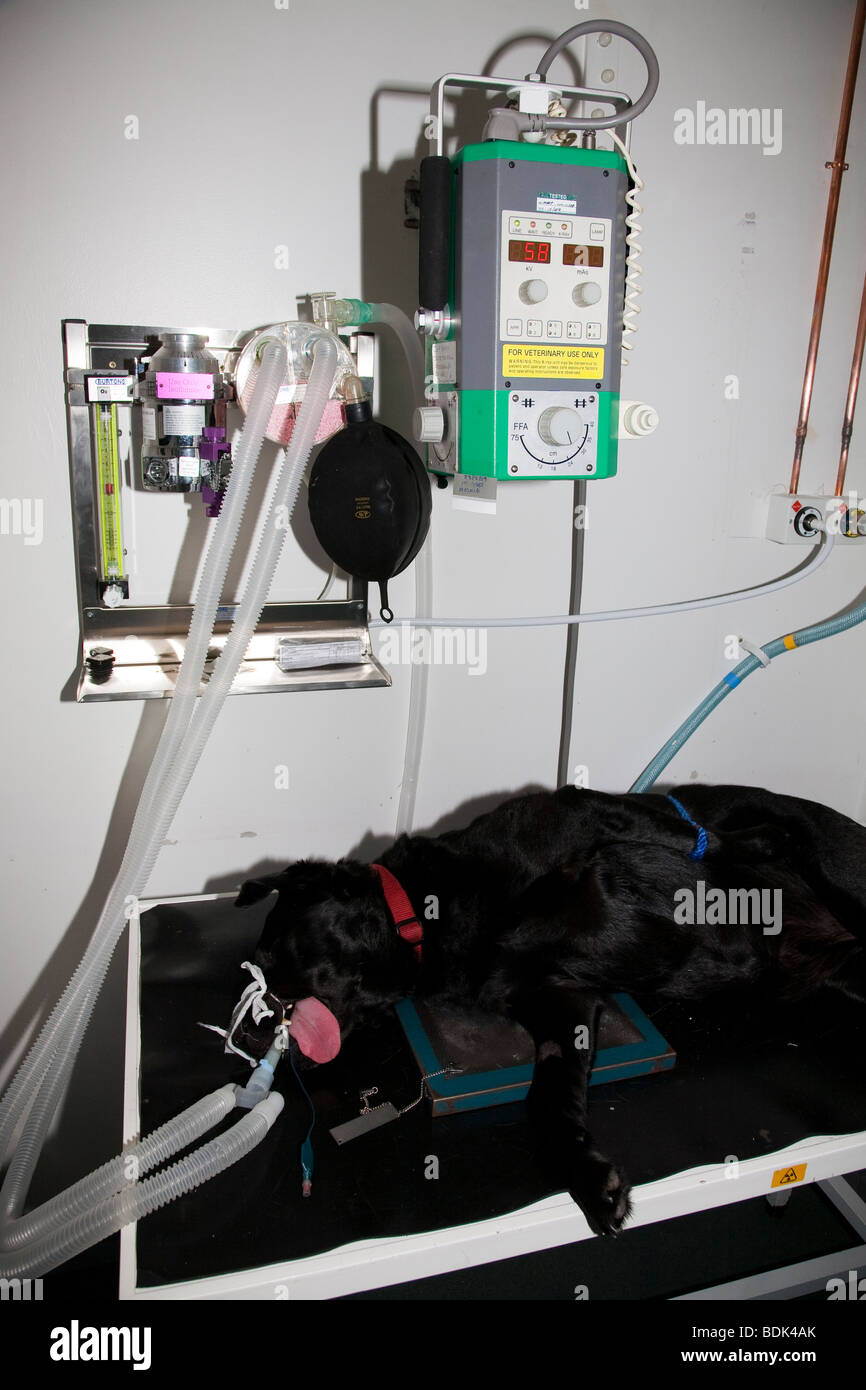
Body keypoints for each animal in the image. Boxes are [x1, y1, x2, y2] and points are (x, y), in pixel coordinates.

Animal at [232, 789, 866, 1234]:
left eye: (273, 955)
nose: (257, 1037)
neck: (426, 913)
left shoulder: (597, 815)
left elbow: (682, 846)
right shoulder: (559, 1005)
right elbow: (547, 1099)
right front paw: (586, 1174)